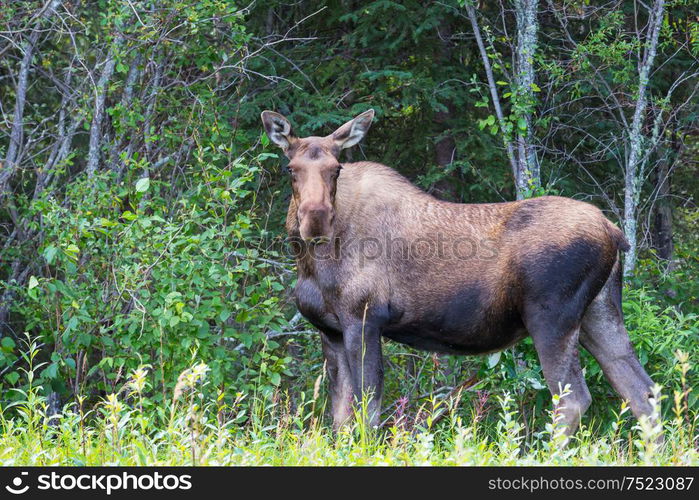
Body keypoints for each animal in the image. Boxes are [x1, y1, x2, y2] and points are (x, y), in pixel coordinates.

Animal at [260, 107, 660, 436]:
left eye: (336, 169)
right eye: (291, 169)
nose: (315, 218)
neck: (312, 262)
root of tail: (615, 233)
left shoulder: (364, 319)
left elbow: (367, 411)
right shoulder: (330, 330)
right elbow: (341, 417)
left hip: (552, 317)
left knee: (573, 399)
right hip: (599, 312)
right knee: (642, 392)